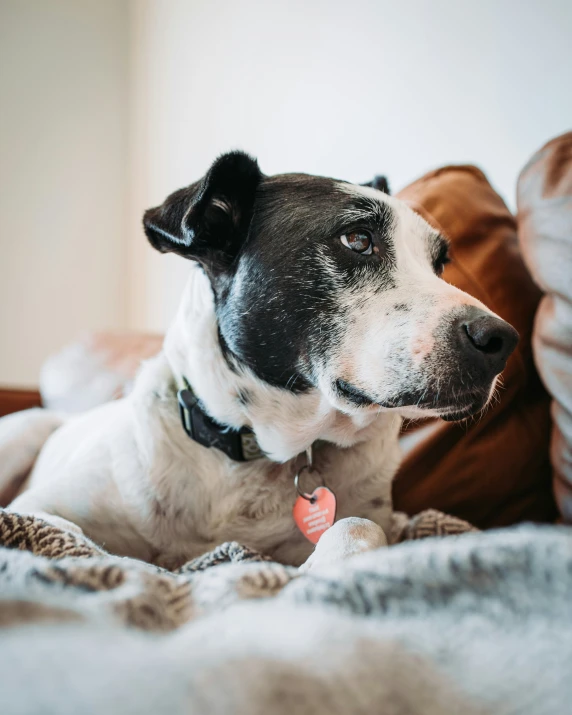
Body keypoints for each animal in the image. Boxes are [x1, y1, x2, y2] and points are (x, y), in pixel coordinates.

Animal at [0, 152, 520, 572]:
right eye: (357, 239)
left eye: (440, 264)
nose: (502, 340)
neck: (258, 453)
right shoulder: (40, 508)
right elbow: (75, 536)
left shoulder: (379, 518)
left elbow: (356, 524)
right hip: (23, 431)